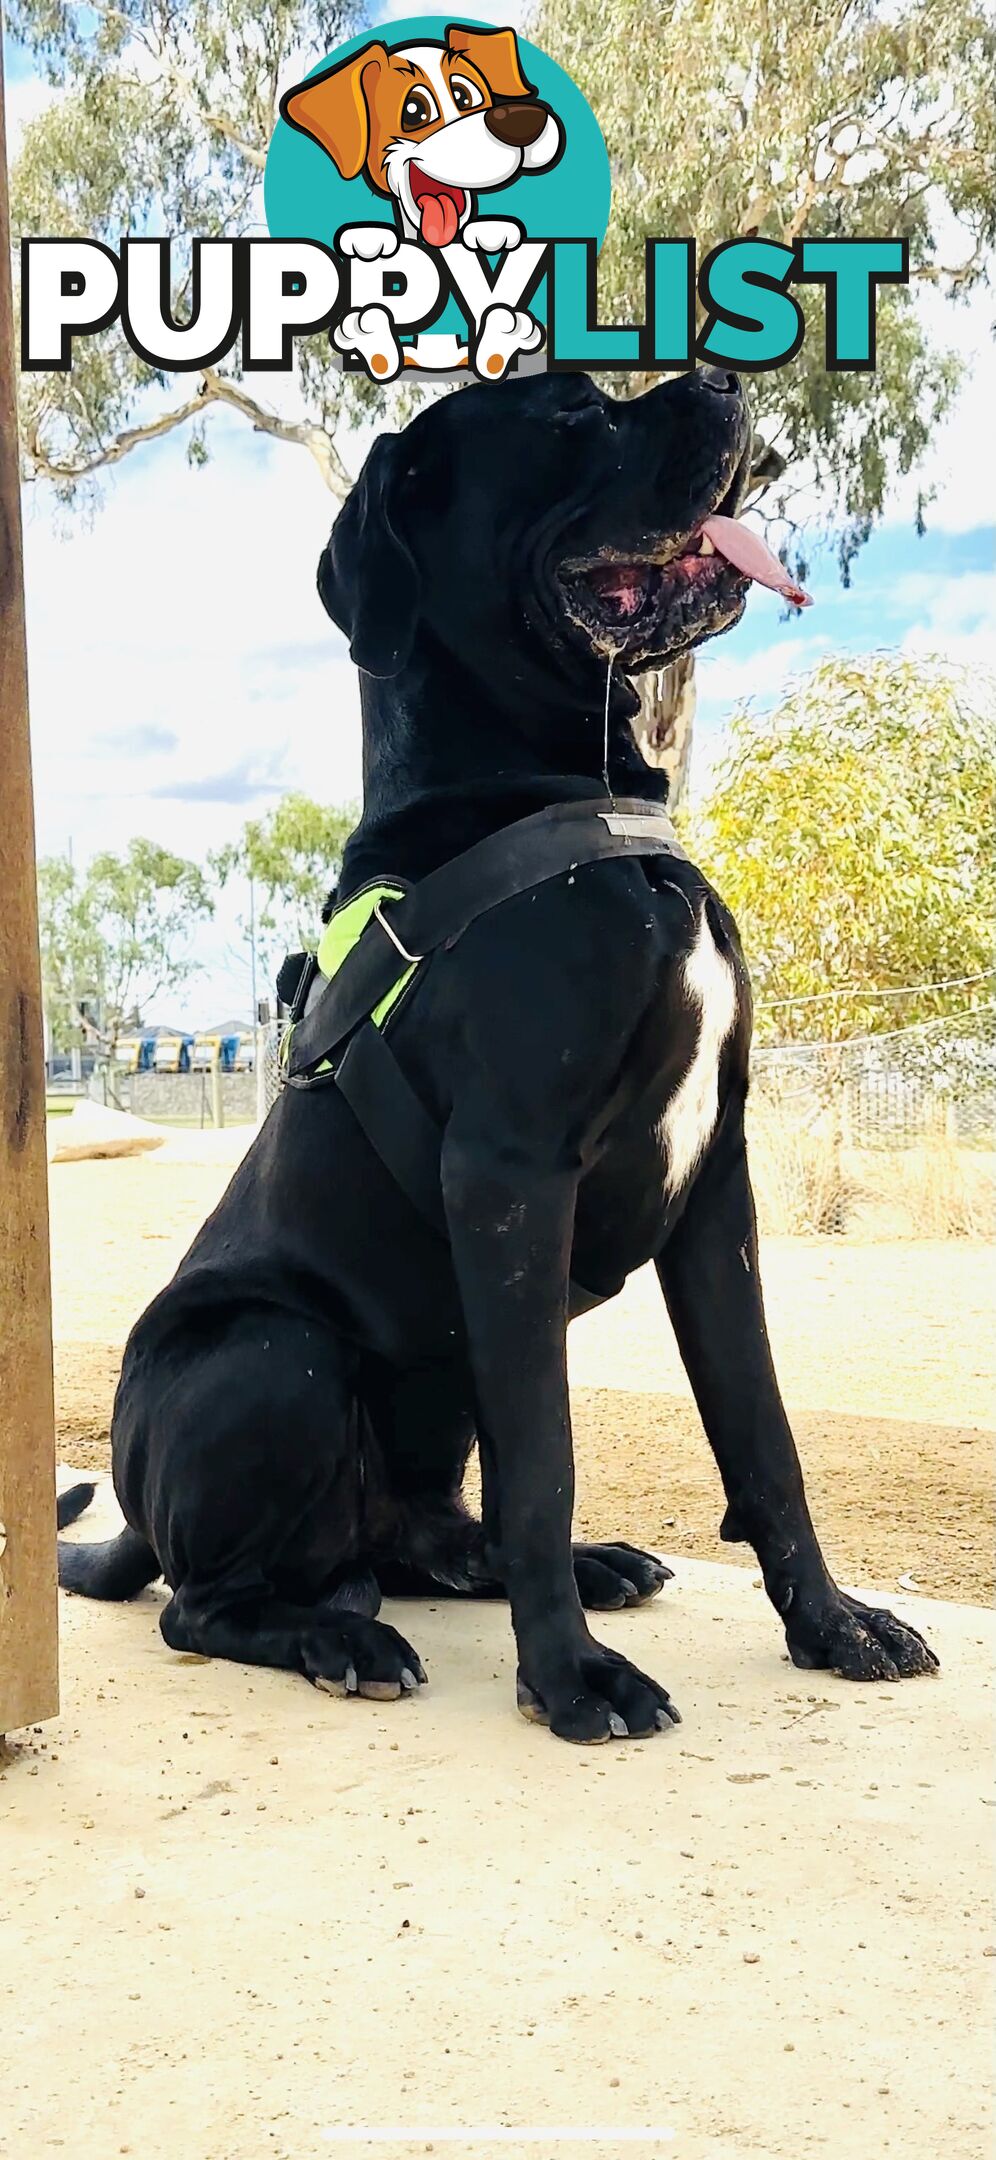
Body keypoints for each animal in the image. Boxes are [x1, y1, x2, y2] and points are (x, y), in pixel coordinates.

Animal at [58, 371, 937, 1745]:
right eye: (569, 415)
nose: (730, 379)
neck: (571, 802)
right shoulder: (509, 1177)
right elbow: (548, 1460)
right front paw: (571, 1679)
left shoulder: (717, 1185)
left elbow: (762, 1433)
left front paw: (832, 1626)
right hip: (274, 1355)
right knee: (204, 1605)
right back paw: (339, 1636)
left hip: (436, 1381)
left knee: (425, 1542)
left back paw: (571, 1569)